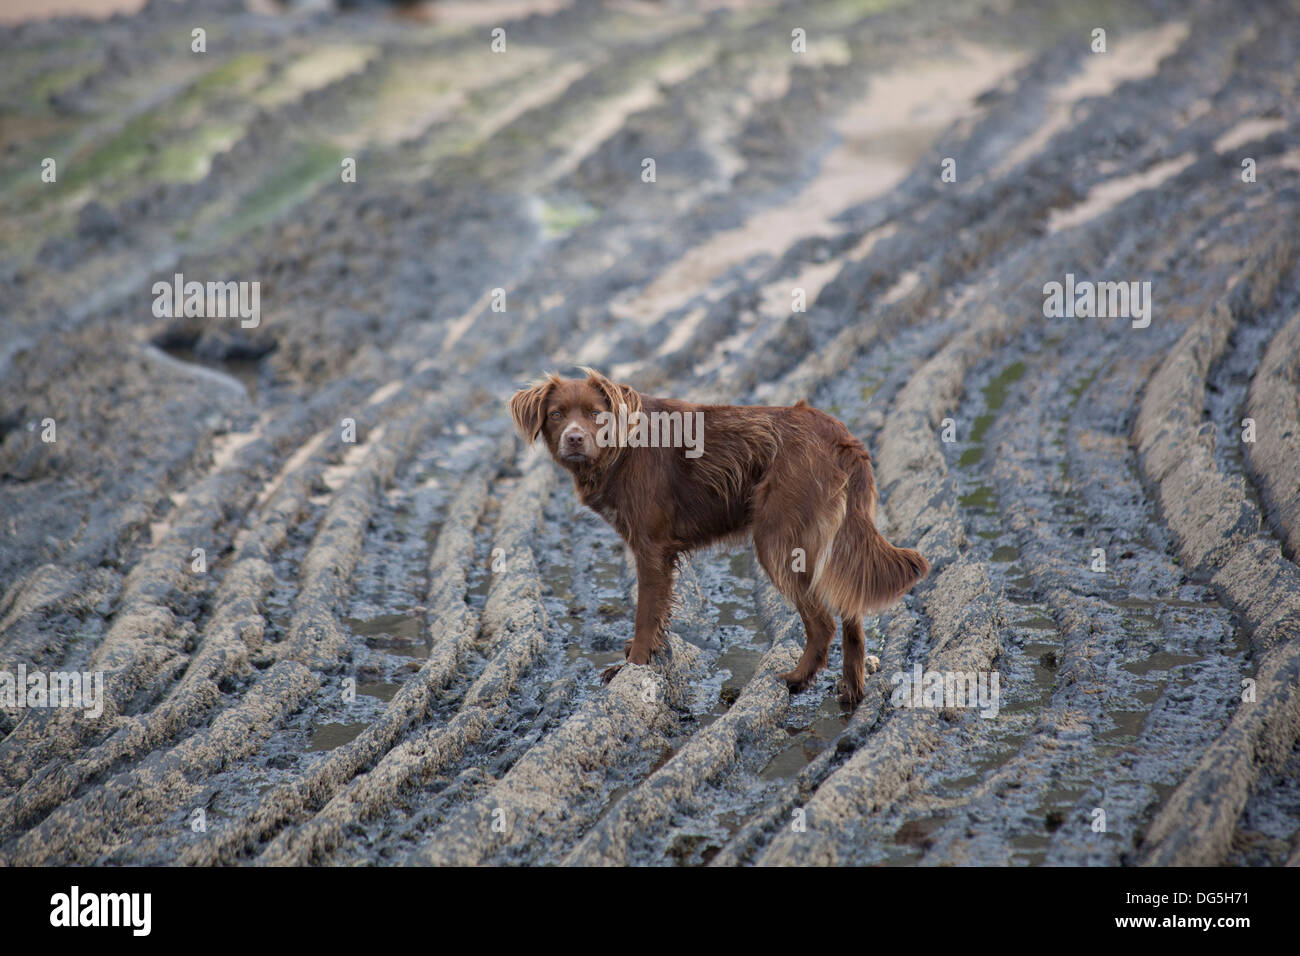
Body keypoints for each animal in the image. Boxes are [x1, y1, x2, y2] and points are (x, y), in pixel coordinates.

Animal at [504, 366, 925, 702]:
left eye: (595, 414)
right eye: (556, 414)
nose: (575, 438)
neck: (620, 449)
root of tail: (842, 436)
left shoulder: (650, 548)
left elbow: (645, 615)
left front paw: (633, 667)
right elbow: (658, 615)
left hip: (778, 539)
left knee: (823, 622)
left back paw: (796, 679)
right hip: (833, 537)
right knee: (851, 609)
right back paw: (851, 687)